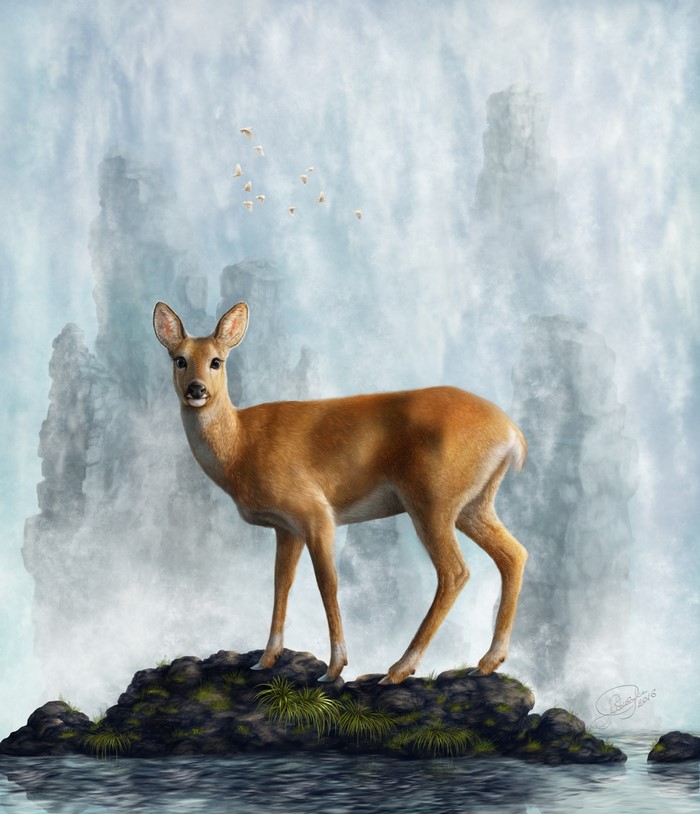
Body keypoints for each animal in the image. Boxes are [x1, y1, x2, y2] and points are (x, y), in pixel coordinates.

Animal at [153, 300, 528, 684]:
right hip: (474, 503)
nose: (196, 389)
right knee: (514, 554)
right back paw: (488, 661)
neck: (242, 444)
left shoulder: (315, 510)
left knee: (455, 571)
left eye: (217, 361)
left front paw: (334, 666)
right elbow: (281, 584)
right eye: (179, 359)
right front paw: (267, 659)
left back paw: (399, 668)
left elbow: (327, 582)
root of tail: (513, 434)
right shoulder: (286, 527)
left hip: (433, 498)